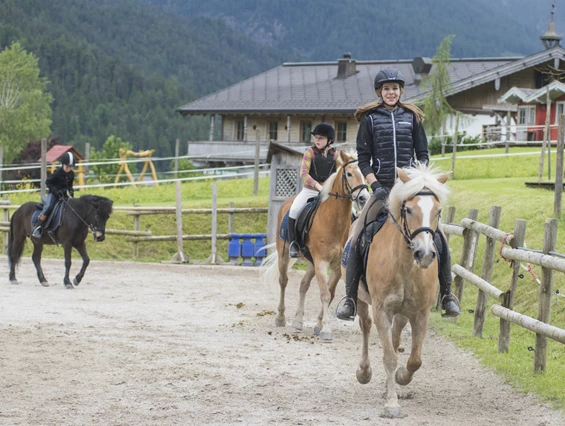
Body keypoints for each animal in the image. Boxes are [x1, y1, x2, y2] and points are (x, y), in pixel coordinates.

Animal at [262, 151, 368, 342]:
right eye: (349, 174)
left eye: (363, 172)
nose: (364, 198)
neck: (333, 221)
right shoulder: (321, 263)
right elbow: (325, 294)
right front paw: (326, 329)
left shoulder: (336, 266)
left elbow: (330, 293)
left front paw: (319, 325)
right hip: (285, 256)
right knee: (283, 281)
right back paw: (281, 317)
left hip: (311, 263)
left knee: (303, 285)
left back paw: (298, 321)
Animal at [352, 165, 450, 418]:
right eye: (408, 209)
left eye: (438, 211)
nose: (424, 254)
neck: (405, 266)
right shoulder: (381, 310)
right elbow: (389, 357)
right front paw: (392, 404)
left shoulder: (420, 313)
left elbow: (414, 360)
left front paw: (401, 379)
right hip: (362, 300)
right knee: (365, 326)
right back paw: (364, 372)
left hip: (402, 312)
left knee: (396, 338)